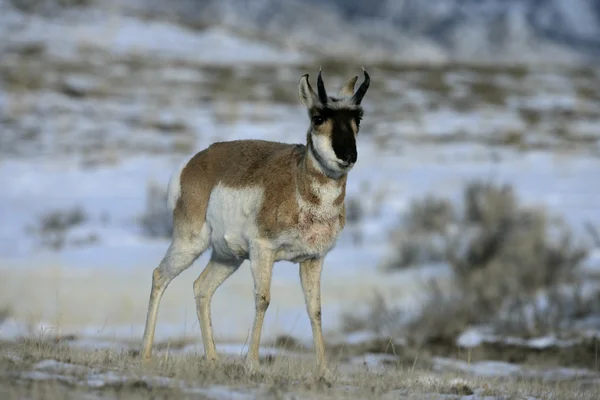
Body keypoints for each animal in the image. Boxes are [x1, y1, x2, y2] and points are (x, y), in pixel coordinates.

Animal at [142, 68, 370, 376]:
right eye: (318, 118)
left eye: (358, 118)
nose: (348, 156)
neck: (298, 183)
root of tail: (193, 163)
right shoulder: (264, 250)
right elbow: (263, 299)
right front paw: (252, 364)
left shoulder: (314, 259)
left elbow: (316, 310)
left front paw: (323, 370)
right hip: (190, 244)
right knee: (159, 276)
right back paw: (145, 355)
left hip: (228, 256)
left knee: (201, 288)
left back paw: (213, 359)